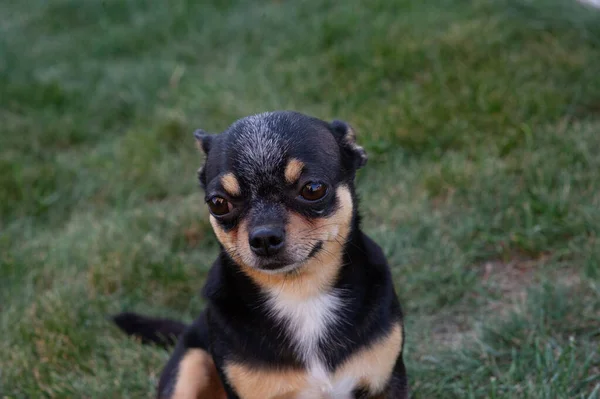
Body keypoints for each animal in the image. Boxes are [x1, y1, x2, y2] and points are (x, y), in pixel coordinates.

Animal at [112, 111, 408, 399]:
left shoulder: (386, 384)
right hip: (188, 367)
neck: (301, 294)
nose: (264, 237)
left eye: (313, 189)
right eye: (218, 203)